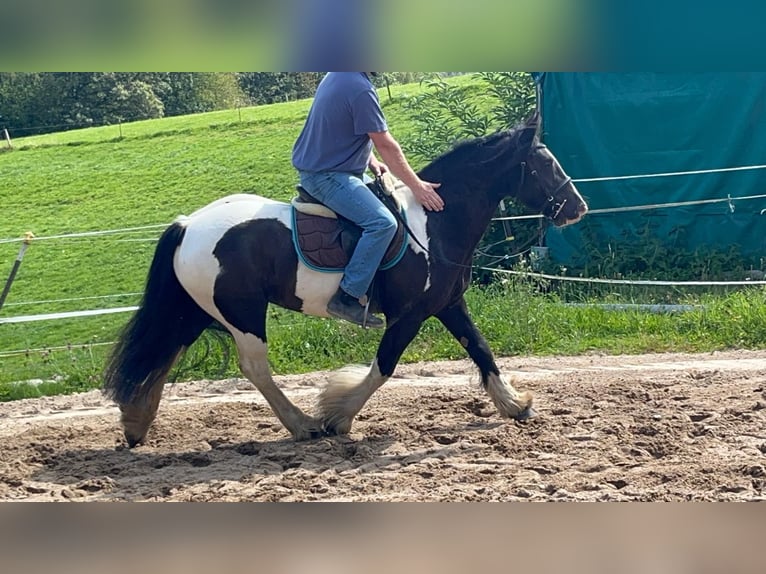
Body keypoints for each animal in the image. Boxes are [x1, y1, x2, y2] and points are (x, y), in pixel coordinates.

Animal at [103, 115, 588, 448]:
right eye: (544, 163)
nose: (577, 206)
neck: (434, 222)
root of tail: (188, 224)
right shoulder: (409, 316)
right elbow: (384, 366)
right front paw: (338, 416)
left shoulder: (448, 305)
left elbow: (482, 350)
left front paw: (515, 404)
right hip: (242, 314)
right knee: (253, 367)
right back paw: (302, 425)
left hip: (197, 310)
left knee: (163, 350)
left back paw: (136, 421)